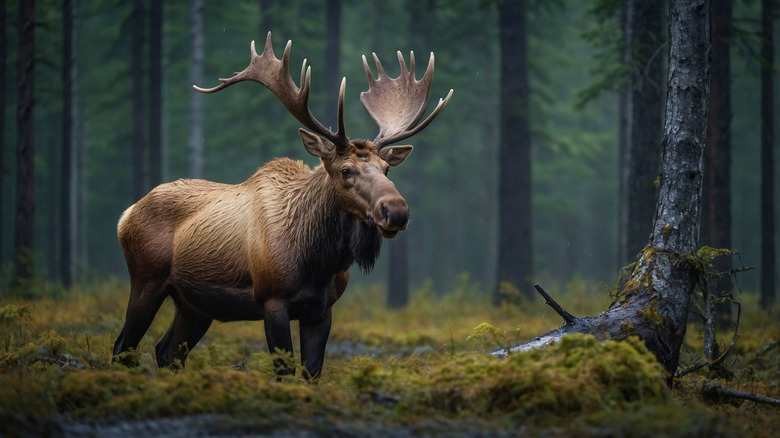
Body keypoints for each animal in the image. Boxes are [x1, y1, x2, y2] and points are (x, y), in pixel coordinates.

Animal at [109, 32, 450, 378]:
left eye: (386, 169)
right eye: (346, 171)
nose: (396, 210)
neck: (318, 261)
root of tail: (125, 215)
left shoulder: (322, 310)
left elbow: (312, 371)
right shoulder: (273, 301)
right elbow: (284, 372)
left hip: (196, 305)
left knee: (167, 352)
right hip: (147, 280)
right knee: (123, 346)